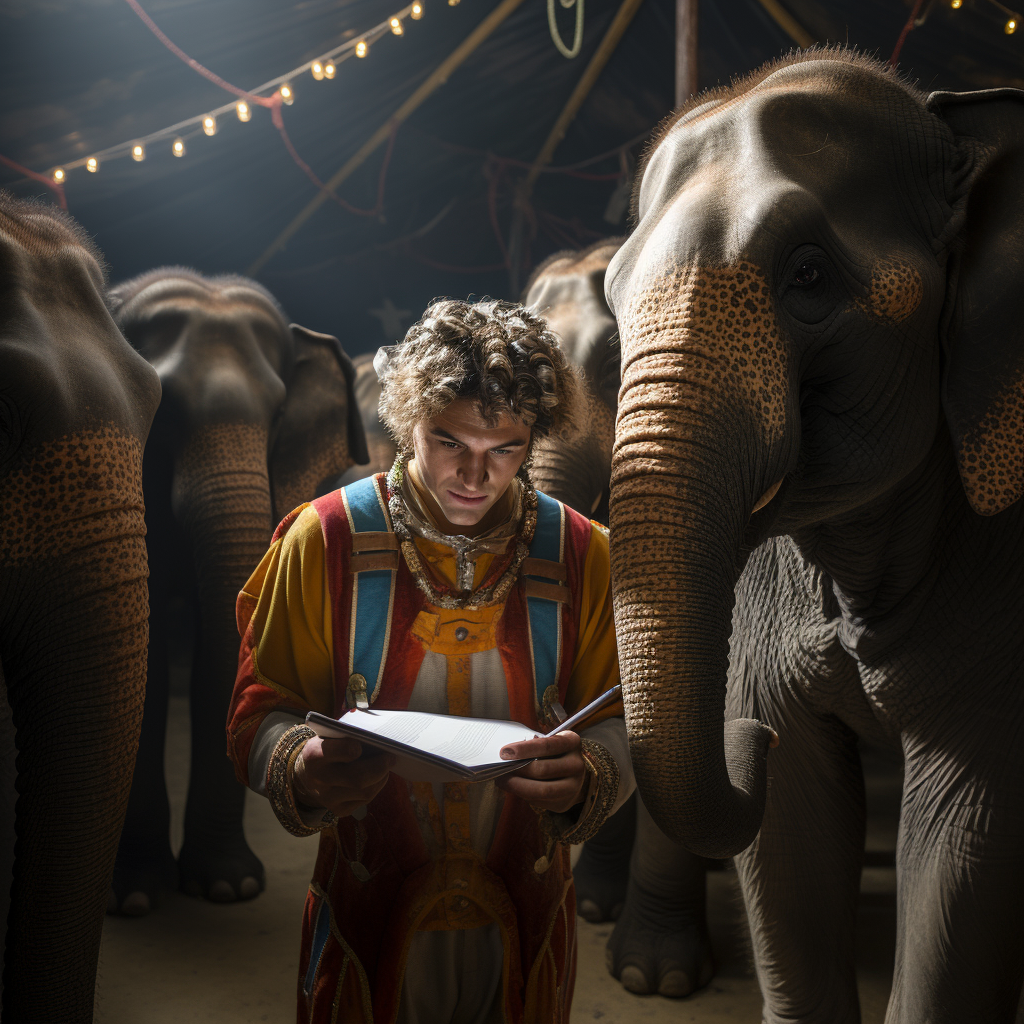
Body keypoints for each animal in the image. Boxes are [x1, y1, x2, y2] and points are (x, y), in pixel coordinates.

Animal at [602, 49, 1024, 1024]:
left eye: (808, 276)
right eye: (614, 291)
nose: (739, 735)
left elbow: (967, 832)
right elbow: (792, 819)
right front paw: (771, 735)